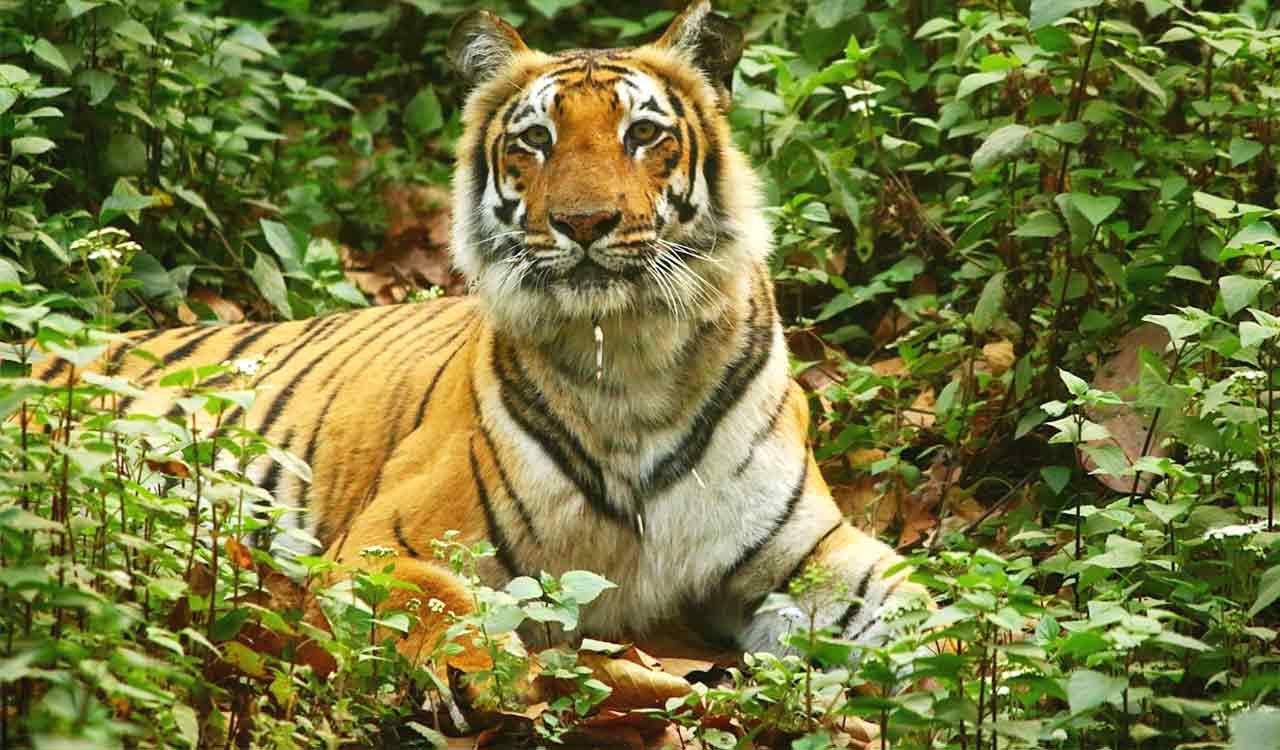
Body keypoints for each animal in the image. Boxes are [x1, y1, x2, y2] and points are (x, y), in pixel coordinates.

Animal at [30, 0, 929, 674]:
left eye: (643, 134)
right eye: (535, 139)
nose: (584, 223)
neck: (629, 355)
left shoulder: (811, 551)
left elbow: (930, 612)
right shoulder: (386, 543)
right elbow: (447, 607)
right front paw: (489, 685)